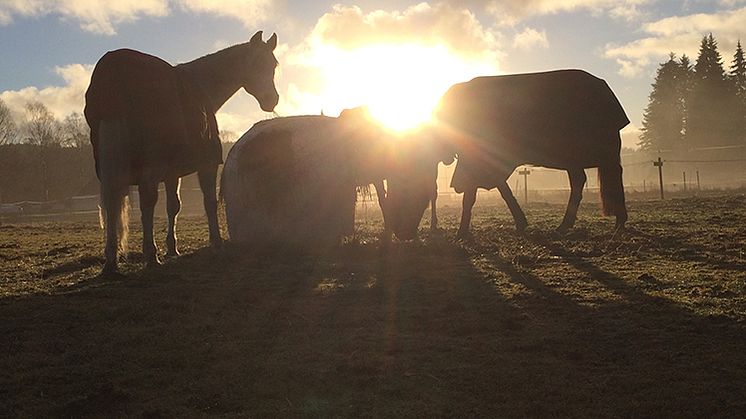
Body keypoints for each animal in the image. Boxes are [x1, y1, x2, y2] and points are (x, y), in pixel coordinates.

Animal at [84, 29, 280, 272]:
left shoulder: (172, 173)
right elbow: (209, 202)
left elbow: (173, 207)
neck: (200, 89)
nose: (272, 100)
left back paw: (111, 261)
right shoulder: (206, 164)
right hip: (151, 166)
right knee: (147, 202)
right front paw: (216, 243)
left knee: (112, 204)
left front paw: (172, 248)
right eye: (256, 63)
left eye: (273, 65)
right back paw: (150, 255)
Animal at [434, 70, 632, 238]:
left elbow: (473, 192)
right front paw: (520, 222)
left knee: (604, 178)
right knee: (584, 180)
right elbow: (499, 189)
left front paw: (461, 232)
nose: (445, 158)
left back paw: (613, 222)